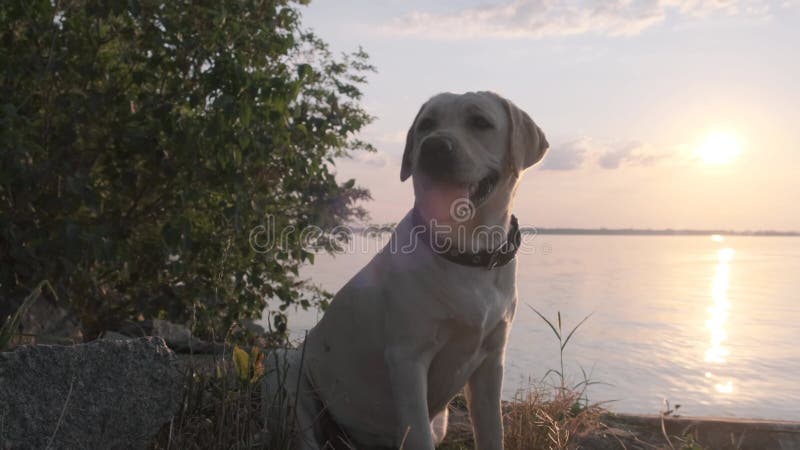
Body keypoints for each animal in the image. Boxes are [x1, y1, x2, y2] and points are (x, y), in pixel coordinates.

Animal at [266, 91, 548, 450]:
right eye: (426, 124)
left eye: (480, 122)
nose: (434, 147)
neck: (464, 252)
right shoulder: (407, 359)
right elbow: (418, 434)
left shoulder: (491, 362)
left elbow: (492, 432)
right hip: (286, 367)